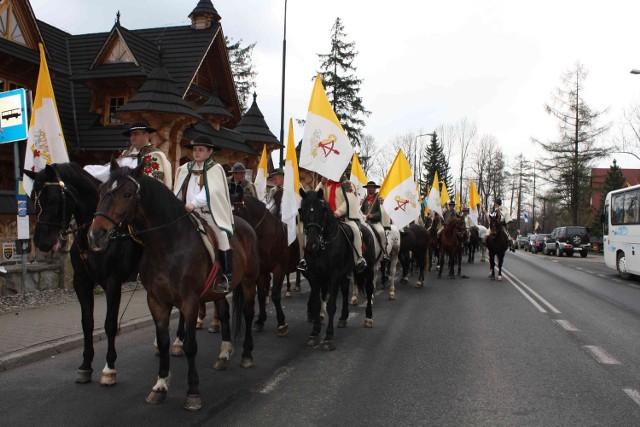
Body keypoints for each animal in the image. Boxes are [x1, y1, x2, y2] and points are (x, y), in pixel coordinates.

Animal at [23, 162, 142, 386]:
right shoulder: (82, 282)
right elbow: (87, 323)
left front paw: (109, 367)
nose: (41, 242)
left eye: (52, 199)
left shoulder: (113, 283)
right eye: (33, 198)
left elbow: (110, 324)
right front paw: (86, 365)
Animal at [87, 164, 258, 412]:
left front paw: (193, 392)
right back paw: (224, 355)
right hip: (218, 291)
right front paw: (160, 386)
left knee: (247, 312)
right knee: (225, 313)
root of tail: (244, 225)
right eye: (101, 191)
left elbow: (190, 345)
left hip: (249, 281)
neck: (169, 245)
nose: (95, 235)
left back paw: (246, 355)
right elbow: (164, 342)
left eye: (127, 194)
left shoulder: (189, 301)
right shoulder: (157, 301)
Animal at [298, 191, 376, 352]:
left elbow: (331, 305)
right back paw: (343, 318)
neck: (324, 245)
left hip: (369, 269)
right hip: (345, 273)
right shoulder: (315, 276)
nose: (312, 245)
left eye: (322, 211)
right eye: (303, 211)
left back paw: (368, 318)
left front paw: (328, 337)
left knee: (369, 289)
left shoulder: (333, 276)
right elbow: (316, 304)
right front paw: (314, 334)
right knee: (345, 291)